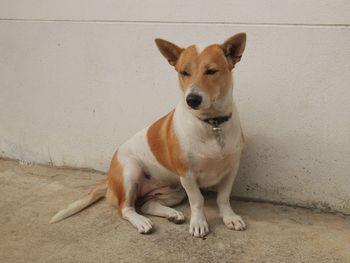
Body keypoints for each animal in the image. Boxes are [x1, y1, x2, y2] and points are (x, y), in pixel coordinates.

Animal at [50, 33, 247, 239]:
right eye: (184, 72)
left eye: (211, 71)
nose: (192, 100)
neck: (211, 123)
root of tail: (109, 180)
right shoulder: (187, 175)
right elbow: (197, 200)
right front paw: (199, 223)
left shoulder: (231, 169)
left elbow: (223, 198)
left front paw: (230, 217)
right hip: (131, 172)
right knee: (125, 209)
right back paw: (141, 222)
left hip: (174, 190)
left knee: (147, 204)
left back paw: (172, 214)